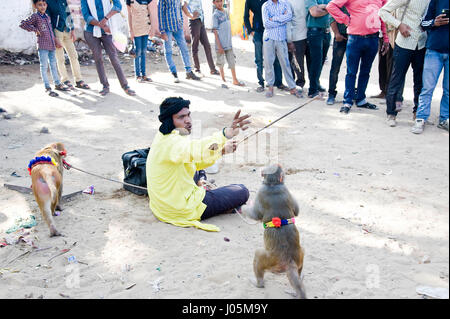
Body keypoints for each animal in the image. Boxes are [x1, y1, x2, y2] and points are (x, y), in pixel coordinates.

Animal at [244, 165, 308, 300]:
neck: (273, 184)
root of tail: (289, 260)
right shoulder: (285, 189)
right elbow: (296, 211)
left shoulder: (261, 191)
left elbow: (255, 215)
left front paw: (243, 208)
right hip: (298, 257)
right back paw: (298, 284)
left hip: (270, 260)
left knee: (258, 254)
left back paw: (258, 283)